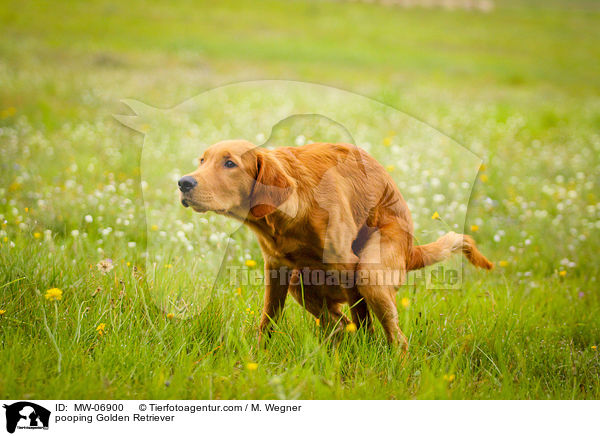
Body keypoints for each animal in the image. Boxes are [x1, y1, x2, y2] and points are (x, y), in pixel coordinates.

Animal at [179, 140, 492, 350]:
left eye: (229, 163)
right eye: (202, 161)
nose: (183, 182)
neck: (293, 208)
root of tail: (411, 249)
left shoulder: (347, 265)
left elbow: (362, 318)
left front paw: (365, 349)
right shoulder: (276, 267)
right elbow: (268, 318)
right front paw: (259, 355)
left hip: (372, 273)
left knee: (397, 338)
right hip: (299, 282)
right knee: (339, 323)